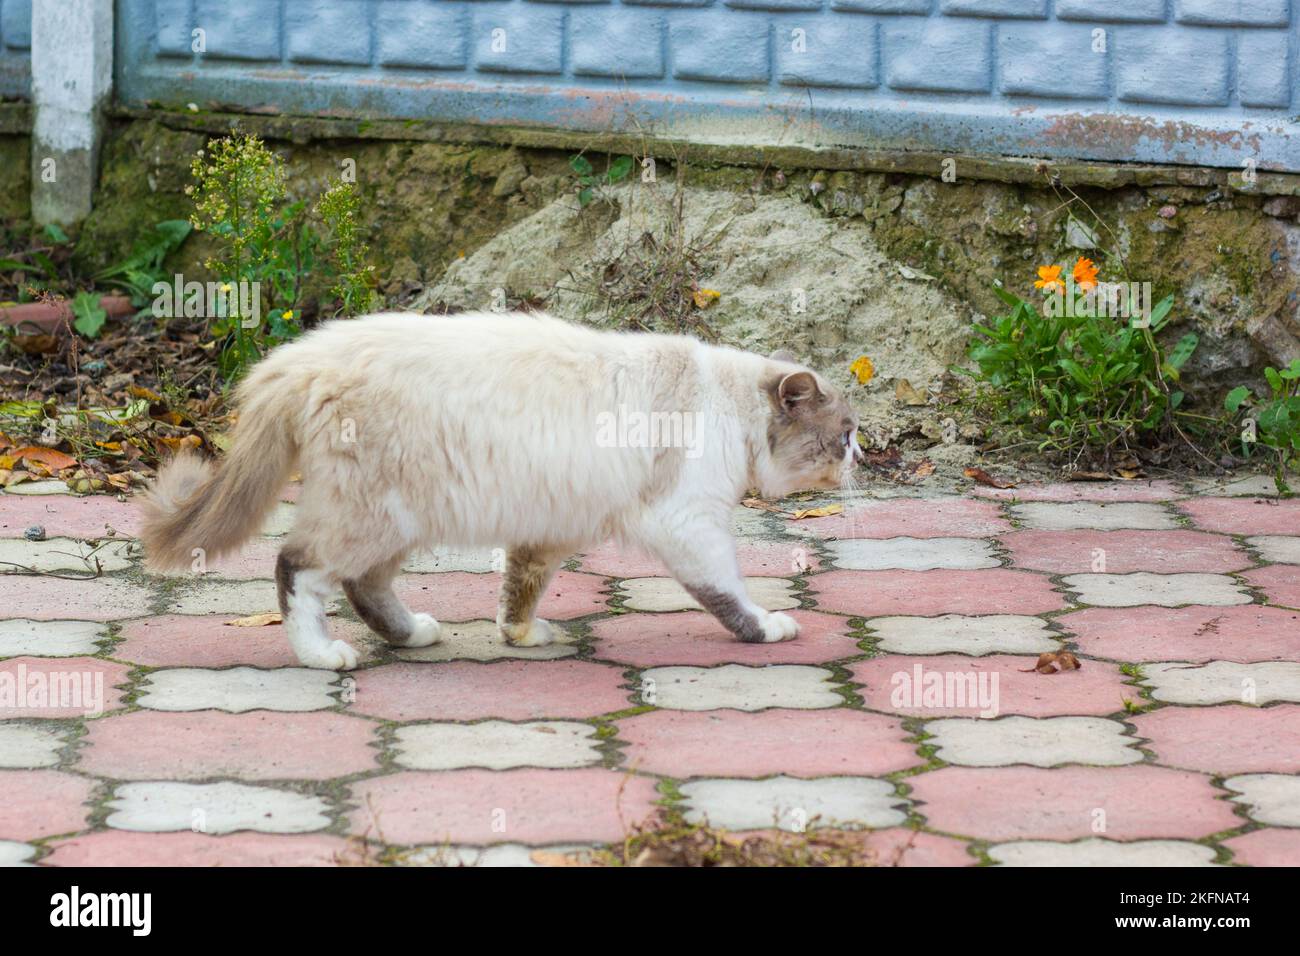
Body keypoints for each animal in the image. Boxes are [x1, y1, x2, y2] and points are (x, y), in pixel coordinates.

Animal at [142, 310, 863, 671]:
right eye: (847, 433)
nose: (864, 456)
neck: (725, 403)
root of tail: (300, 356)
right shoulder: (690, 524)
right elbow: (729, 594)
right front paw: (767, 628)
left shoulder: (549, 529)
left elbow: (519, 591)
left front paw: (520, 637)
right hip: (374, 518)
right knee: (297, 569)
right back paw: (324, 655)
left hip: (399, 521)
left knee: (363, 585)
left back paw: (412, 634)